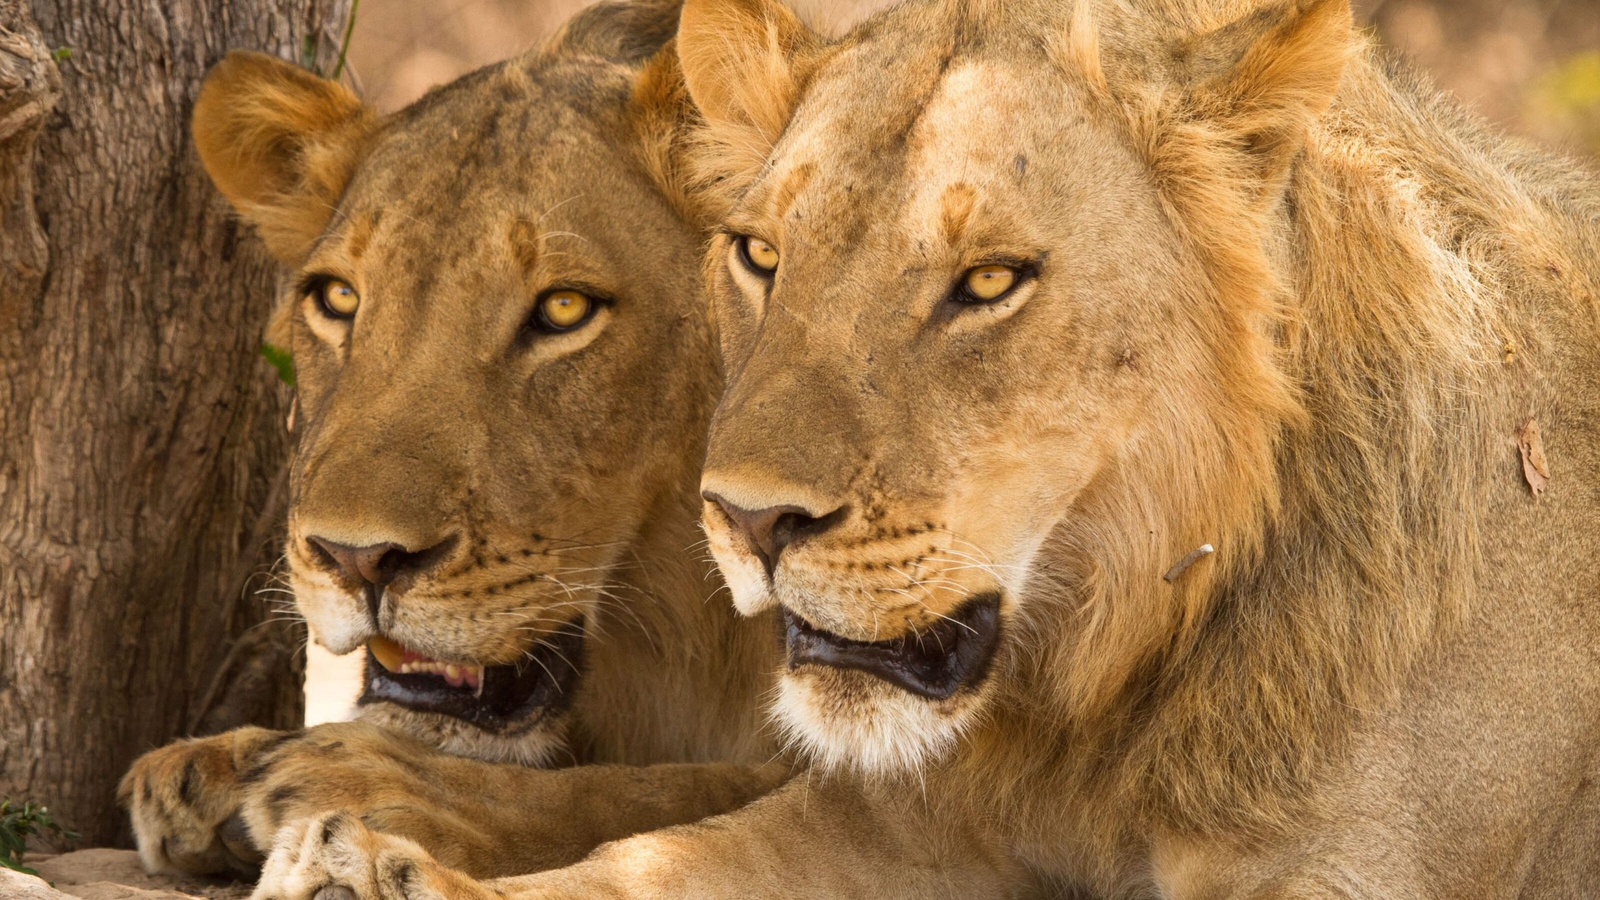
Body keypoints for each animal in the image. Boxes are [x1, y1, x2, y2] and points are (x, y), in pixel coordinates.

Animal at [118, 0, 799, 881]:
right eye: (337, 298)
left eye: (565, 310)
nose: (356, 560)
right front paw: (217, 764)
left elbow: (666, 791)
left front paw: (361, 781)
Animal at [238, 0, 1600, 897]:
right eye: (761, 255)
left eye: (989, 283)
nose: (748, 521)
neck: (1104, 684)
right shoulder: (900, 826)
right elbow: (644, 852)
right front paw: (371, 847)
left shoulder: (1346, 875)